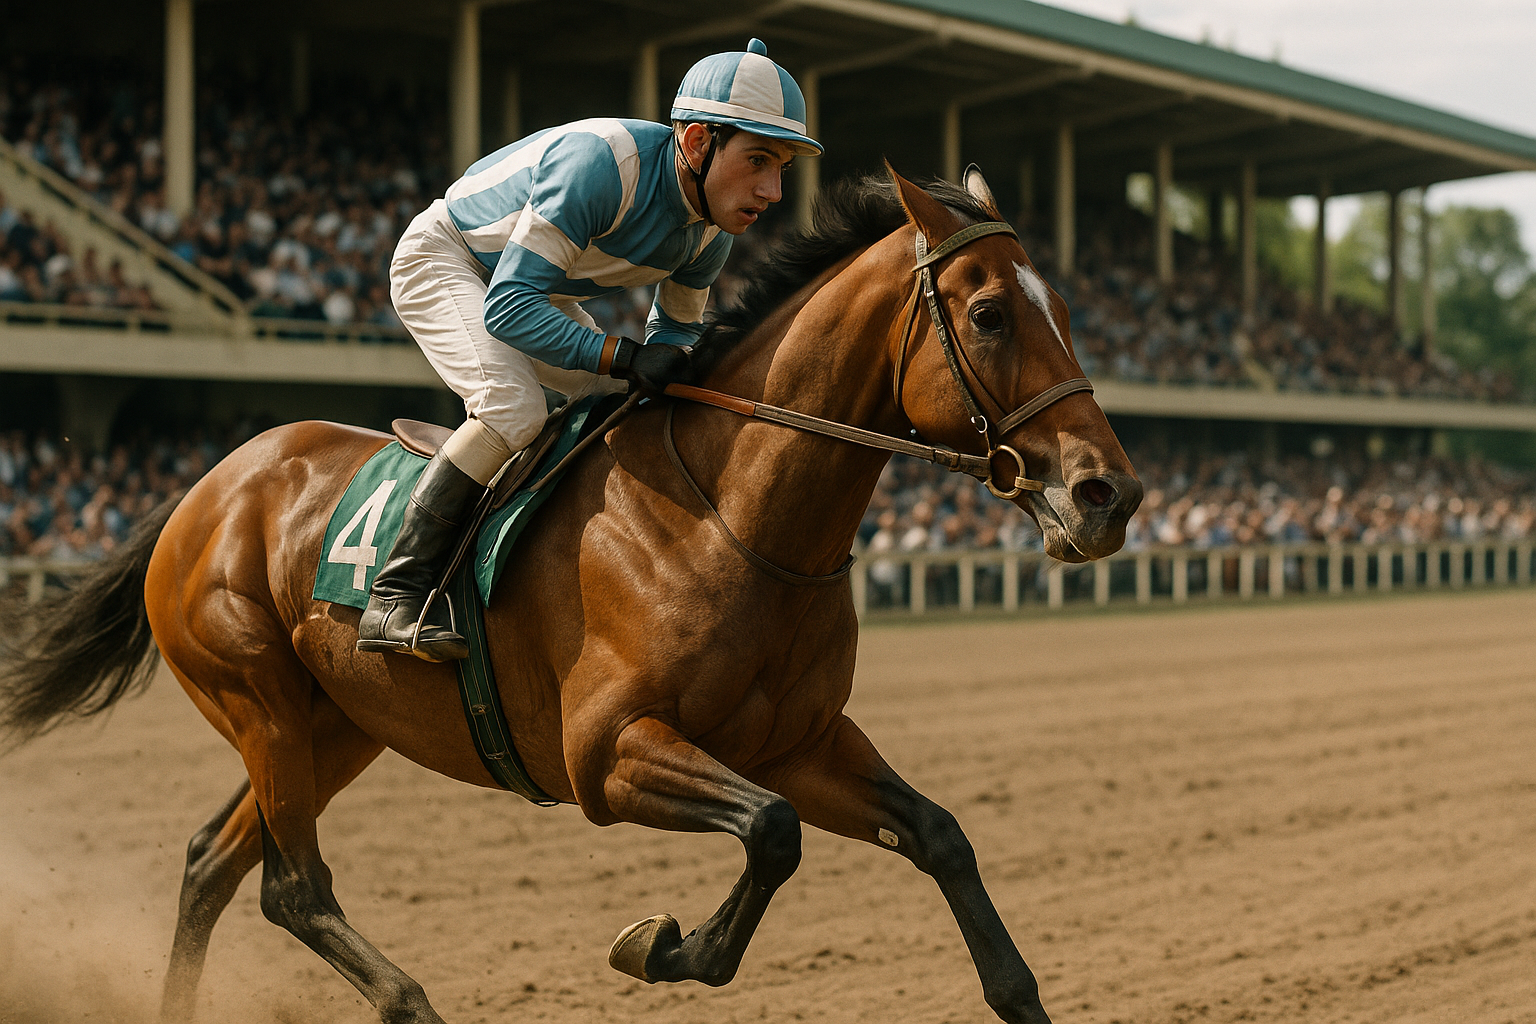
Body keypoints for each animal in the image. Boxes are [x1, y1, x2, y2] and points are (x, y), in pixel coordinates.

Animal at [0, 166, 1140, 1024]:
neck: (728, 517)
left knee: (212, 864)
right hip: (260, 700)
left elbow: (937, 835)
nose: (1110, 493)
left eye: (1066, 310)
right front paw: (660, 945)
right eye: (989, 313)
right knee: (290, 886)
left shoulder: (801, 741)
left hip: (337, 724)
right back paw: (412, 1000)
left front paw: (1018, 990)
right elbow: (772, 833)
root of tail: (209, 483)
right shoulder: (608, 752)